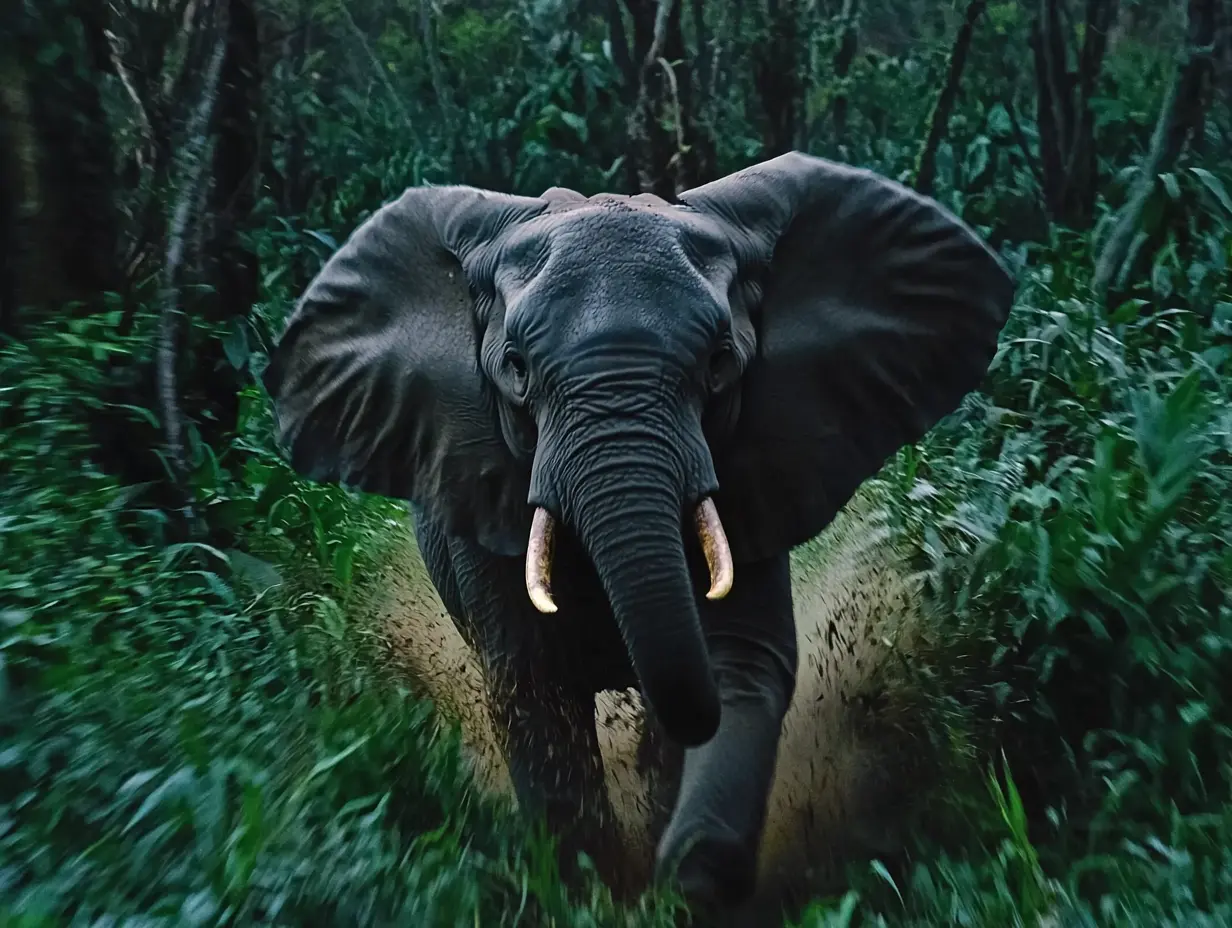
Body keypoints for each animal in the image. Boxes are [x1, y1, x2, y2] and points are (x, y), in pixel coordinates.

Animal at [262, 151, 1015, 914]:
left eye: (719, 363)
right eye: (516, 369)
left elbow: (740, 661)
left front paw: (682, 885)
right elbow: (534, 691)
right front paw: (591, 891)